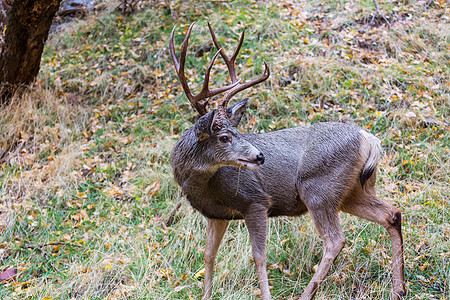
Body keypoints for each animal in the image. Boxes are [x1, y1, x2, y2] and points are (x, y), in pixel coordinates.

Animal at [168, 22, 404, 298]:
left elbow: (259, 256)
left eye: (236, 132)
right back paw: (399, 290)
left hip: (318, 188)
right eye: (225, 137)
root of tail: (368, 138)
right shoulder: (216, 215)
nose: (259, 155)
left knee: (335, 240)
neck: (202, 186)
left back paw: (306, 294)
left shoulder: (255, 201)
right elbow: (208, 255)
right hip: (353, 191)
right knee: (392, 214)